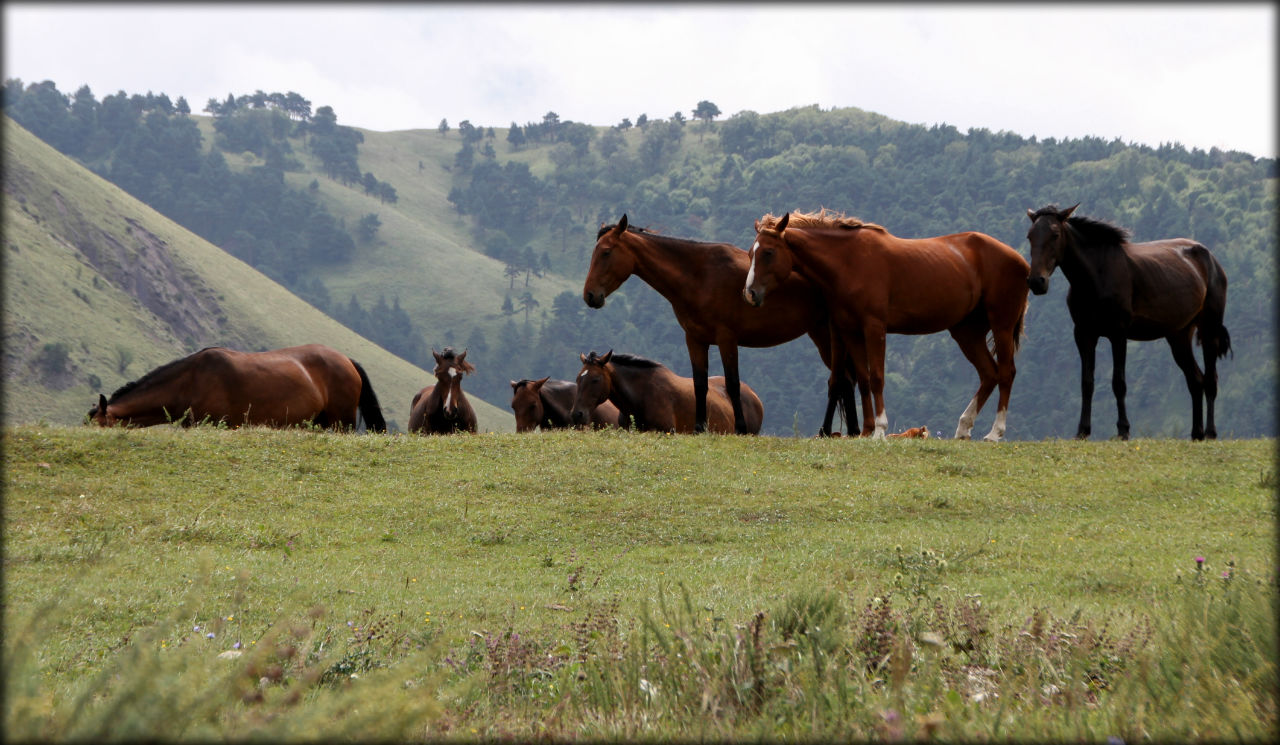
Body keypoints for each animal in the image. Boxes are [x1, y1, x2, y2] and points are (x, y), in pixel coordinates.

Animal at [742, 208, 1029, 442]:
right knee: (989, 374)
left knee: (1006, 373)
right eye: (750, 253)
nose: (750, 293)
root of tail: (1020, 261)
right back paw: (963, 428)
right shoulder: (850, 330)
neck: (849, 261)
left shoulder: (874, 328)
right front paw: (867, 429)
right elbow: (863, 378)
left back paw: (995, 432)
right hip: (967, 332)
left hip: (1001, 326)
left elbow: (877, 377)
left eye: (768, 252)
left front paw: (879, 429)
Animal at [1018, 204, 1228, 440]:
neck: (1097, 275)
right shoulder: (1084, 334)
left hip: (1209, 329)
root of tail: (1211, 260)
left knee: (1210, 380)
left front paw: (1123, 430)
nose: (1037, 282)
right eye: (1030, 236)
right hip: (1179, 335)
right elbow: (1087, 382)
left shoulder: (1118, 334)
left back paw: (1210, 432)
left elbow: (1118, 383)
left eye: (1054, 234)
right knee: (1195, 381)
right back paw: (1196, 433)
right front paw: (1083, 431)